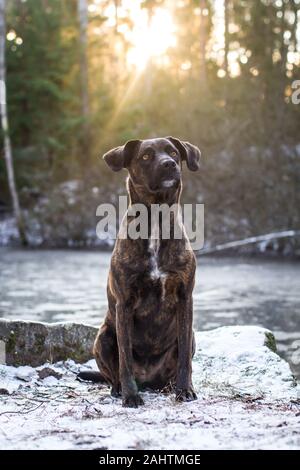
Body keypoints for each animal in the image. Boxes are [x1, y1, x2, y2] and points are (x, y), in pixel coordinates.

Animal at [79, 137, 202, 408]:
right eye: (146, 156)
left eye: (173, 153)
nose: (168, 164)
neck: (155, 217)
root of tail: (149, 380)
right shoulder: (124, 303)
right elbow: (124, 358)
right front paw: (130, 395)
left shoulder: (185, 298)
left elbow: (185, 361)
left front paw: (185, 390)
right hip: (102, 337)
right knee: (113, 373)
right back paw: (119, 389)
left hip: (191, 337)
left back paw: (170, 387)